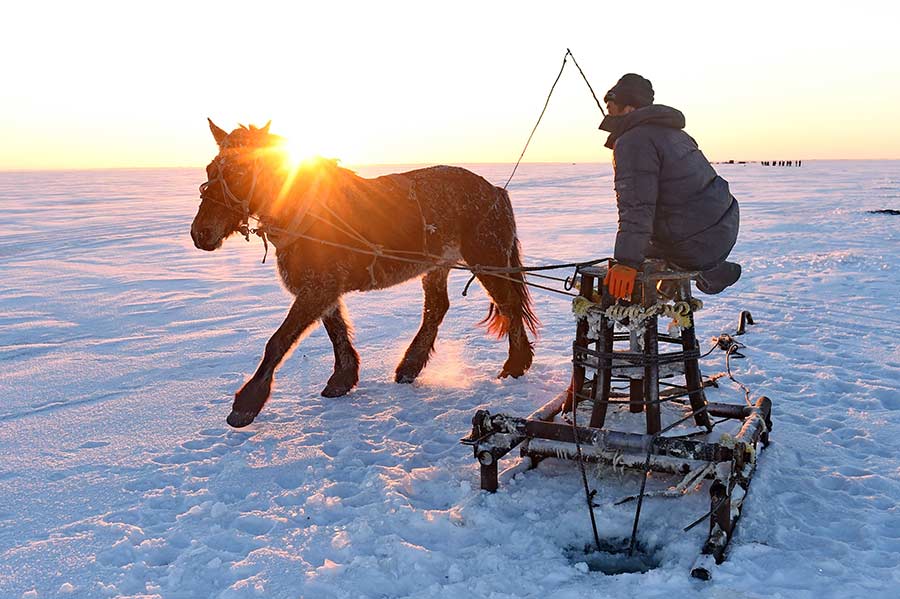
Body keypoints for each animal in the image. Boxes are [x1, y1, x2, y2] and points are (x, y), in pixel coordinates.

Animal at [191, 120, 536, 426]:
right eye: (210, 170)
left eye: (239, 173)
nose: (200, 233)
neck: (306, 210)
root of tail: (496, 191)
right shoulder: (321, 288)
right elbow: (335, 330)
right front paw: (342, 378)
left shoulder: (319, 287)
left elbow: (279, 340)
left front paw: (247, 402)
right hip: (438, 266)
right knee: (437, 308)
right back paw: (410, 366)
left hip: (487, 260)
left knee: (509, 304)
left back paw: (515, 364)